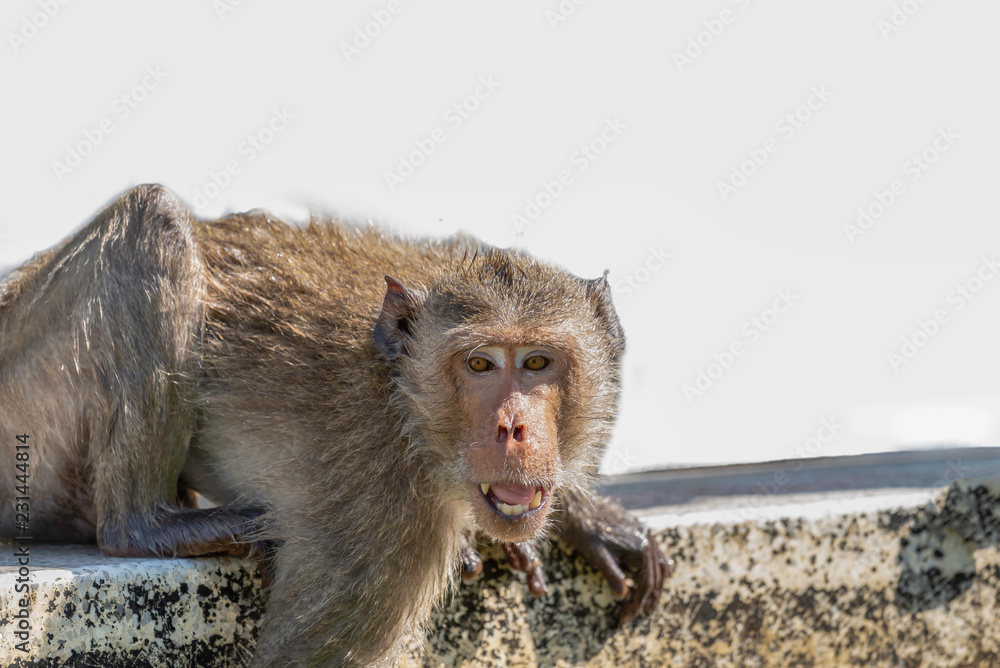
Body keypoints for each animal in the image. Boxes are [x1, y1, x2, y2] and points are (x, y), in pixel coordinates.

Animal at [0, 184, 669, 666]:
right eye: (480, 364)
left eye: (537, 363)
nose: (514, 429)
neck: (406, 407)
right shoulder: (382, 516)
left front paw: (590, 519)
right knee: (152, 216)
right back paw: (146, 526)